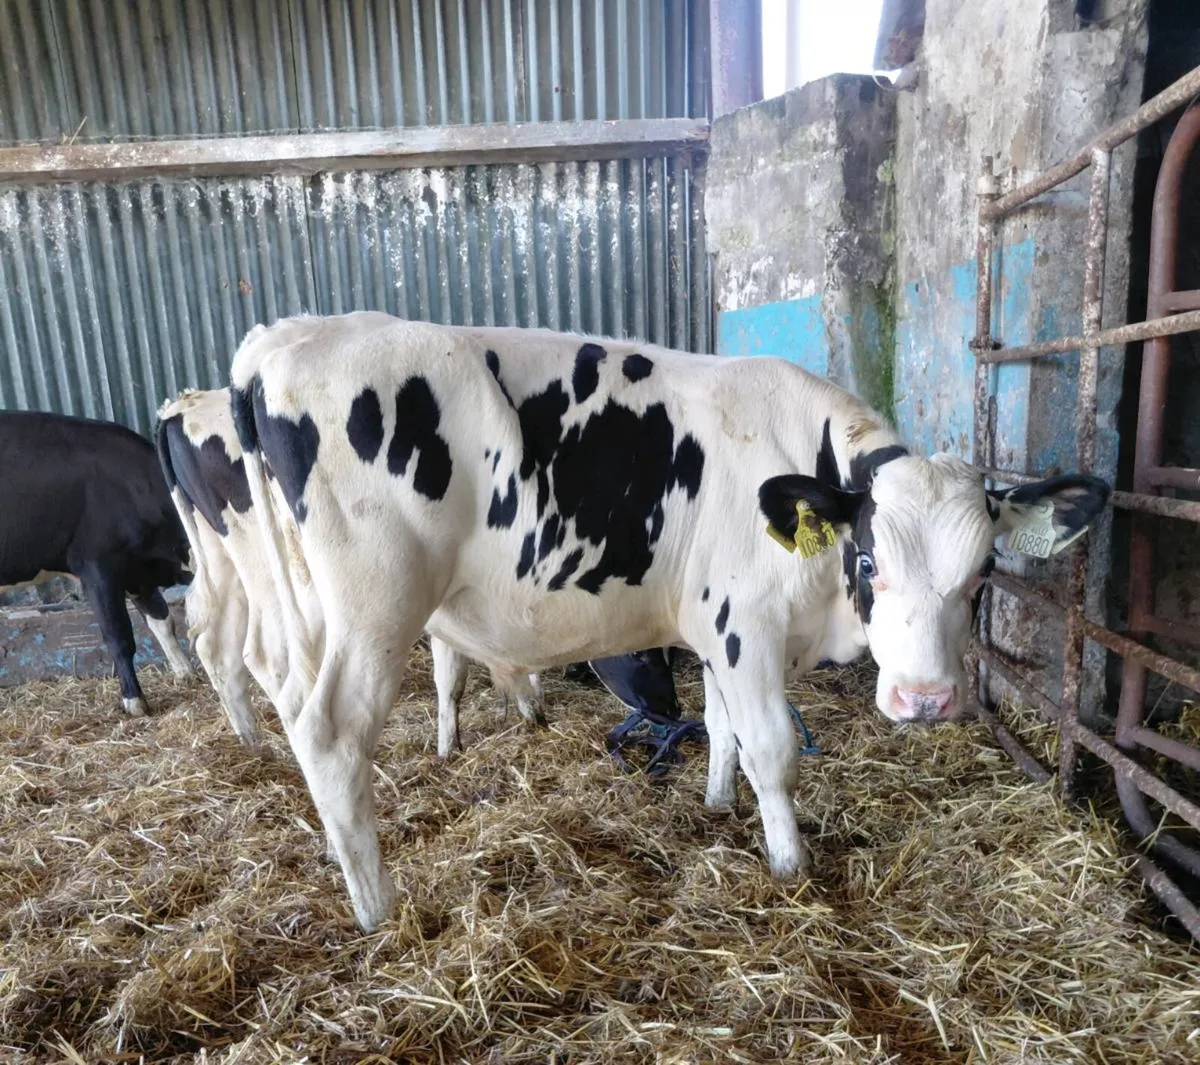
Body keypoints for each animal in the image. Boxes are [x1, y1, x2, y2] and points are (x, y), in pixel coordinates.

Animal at [0, 410, 194, 714]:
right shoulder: (98, 567)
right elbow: (118, 637)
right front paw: (134, 702)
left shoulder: (139, 571)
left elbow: (162, 621)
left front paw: (185, 673)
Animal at [229, 311, 1109, 931]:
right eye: (867, 561)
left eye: (981, 574)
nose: (925, 698)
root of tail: (282, 338)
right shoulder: (746, 626)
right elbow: (773, 749)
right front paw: (789, 863)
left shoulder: (715, 630)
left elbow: (721, 726)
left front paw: (717, 802)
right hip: (375, 604)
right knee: (331, 732)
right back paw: (376, 908)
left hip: (302, 607)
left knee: (287, 698)